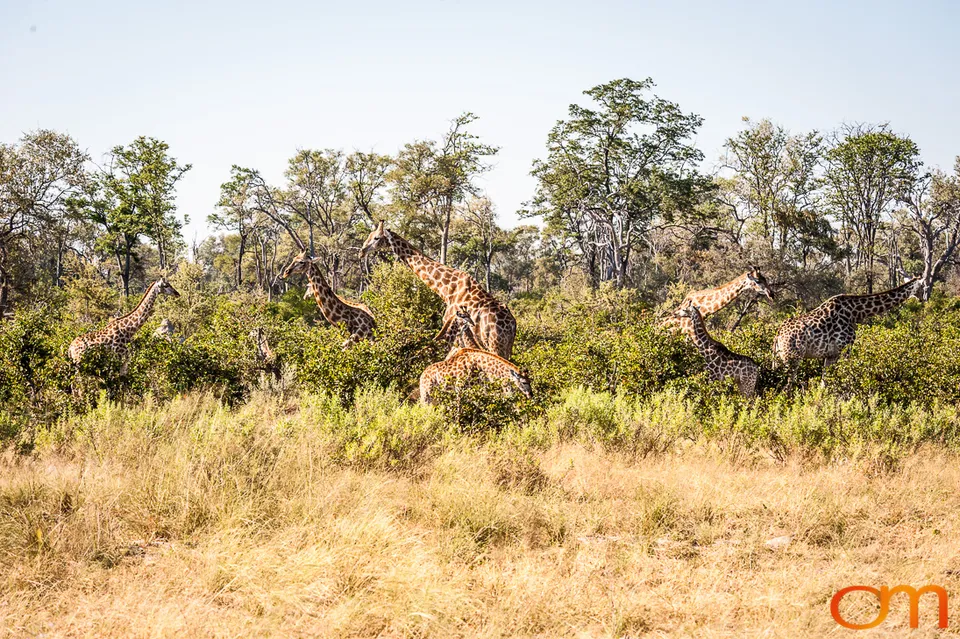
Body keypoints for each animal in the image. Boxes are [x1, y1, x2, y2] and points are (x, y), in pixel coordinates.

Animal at [359, 220, 517, 359]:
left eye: (376, 237)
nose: (362, 251)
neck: (447, 289)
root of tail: (511, 326)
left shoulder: (450, 325)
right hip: (506, 347)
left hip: (495, 345)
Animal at [773, 278, 924, 383]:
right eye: (923, 286)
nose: (923, 298)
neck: (855, 313)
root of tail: (778, 334)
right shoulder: (845, 349)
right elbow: (845, 378)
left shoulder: (831, 355)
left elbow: (824, 383)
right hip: (793, 357)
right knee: (788, 385)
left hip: (780, 358)